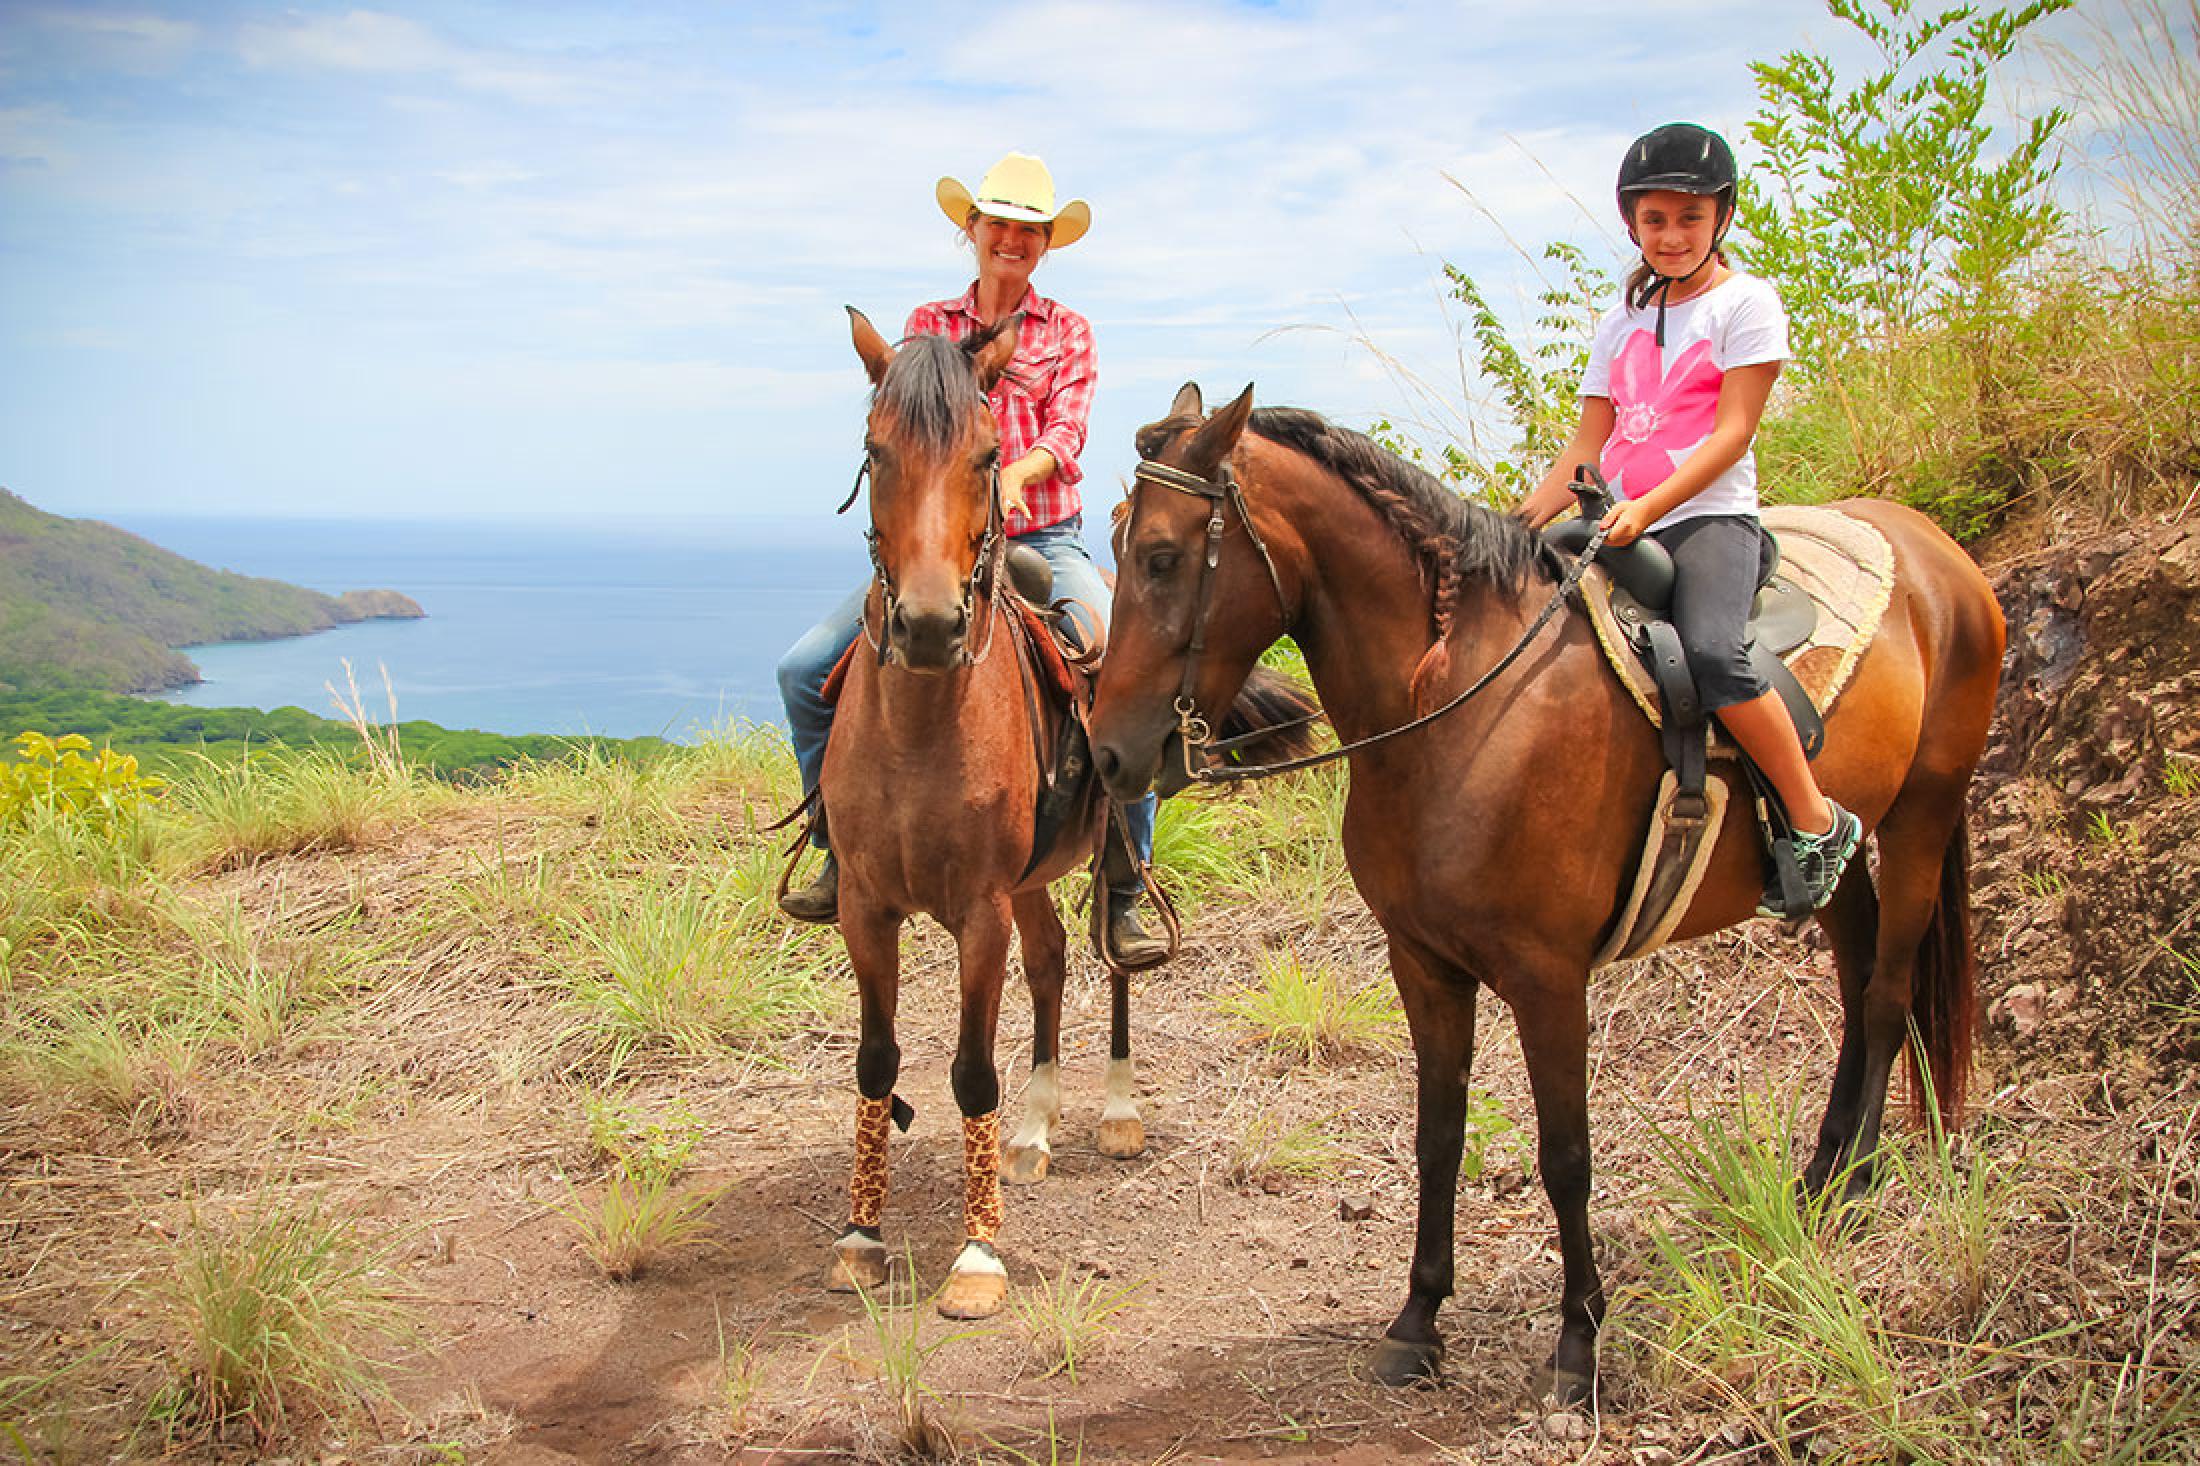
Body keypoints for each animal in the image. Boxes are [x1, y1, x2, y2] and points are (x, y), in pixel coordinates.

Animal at [822, 316, 1302, 1311]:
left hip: (1098, 854)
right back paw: (1034, 1129)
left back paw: (1115, 1110)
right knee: (1047, 966)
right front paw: (861, 1234)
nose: (930, 626)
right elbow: (878, 1061)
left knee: (1112, 961)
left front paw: (976, 1255)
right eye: (876, 452)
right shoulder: (865, 910)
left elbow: (971, 1070)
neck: (920, 729)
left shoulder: (978, 913)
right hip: (1029, 883)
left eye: (986, 455)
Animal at [1091, 383, 2006, 1399]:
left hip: (1925, 813)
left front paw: (1578, 1343)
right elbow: (1438, 1135)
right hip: (1841, 856)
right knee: (1854, 975)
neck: (1455, 709)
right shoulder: (1424, 966)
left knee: (1885, 999)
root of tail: (1936, 554)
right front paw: (1418, 1322)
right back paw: (1825, 1175)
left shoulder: (1547, 979)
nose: (1110, 752)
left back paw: (1852, 1188)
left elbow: (1566, 1157)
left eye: (1163, 557)